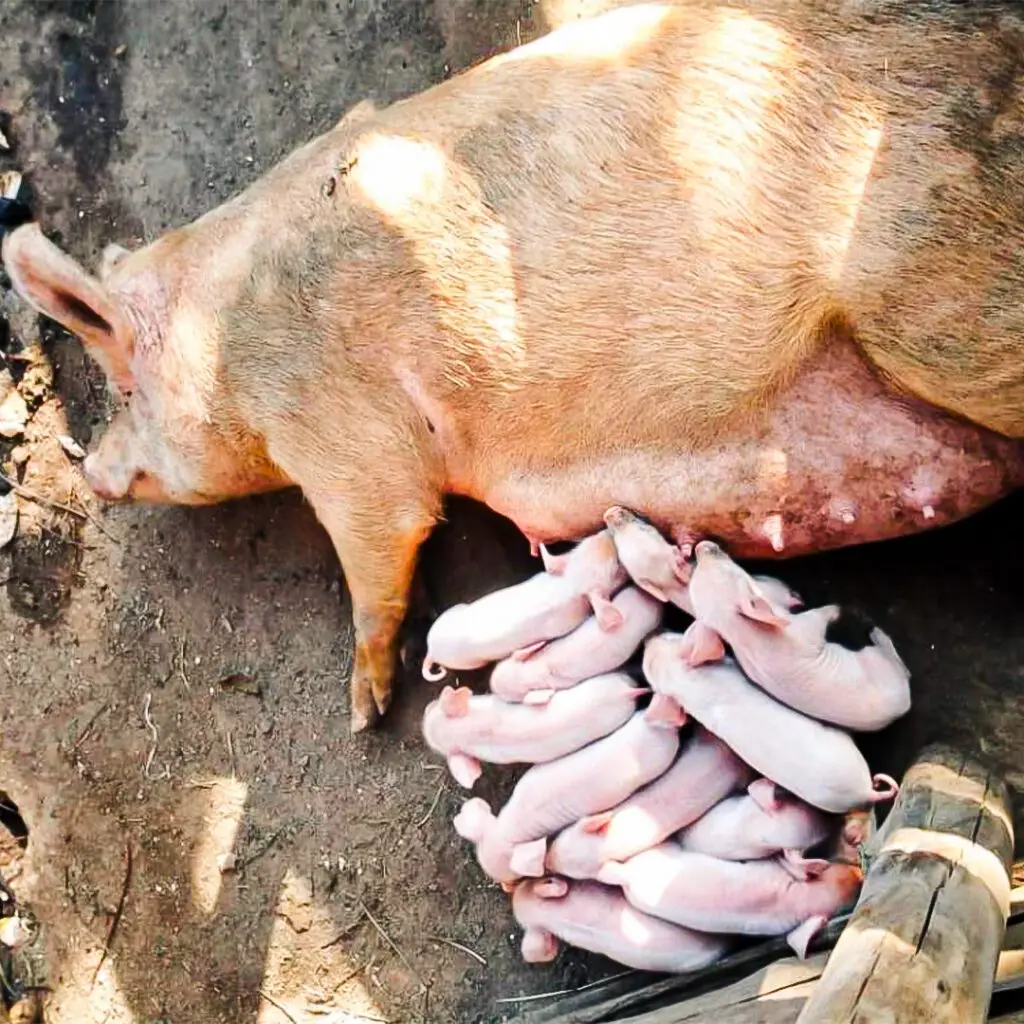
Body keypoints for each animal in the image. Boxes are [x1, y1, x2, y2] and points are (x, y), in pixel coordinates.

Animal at [421, 530, 627, 681]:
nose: (606, 530)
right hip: (467, 662)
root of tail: (431, 650)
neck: (569, 584)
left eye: (589, 539)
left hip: (454, 610)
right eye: (615, 565)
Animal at [685, 541, 911, 731]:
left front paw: (795, 599)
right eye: (729, 573)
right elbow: (822, 614)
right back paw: (877, 633)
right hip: (876, 661)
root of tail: (902, 707)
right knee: (898, 663)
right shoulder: (806, 632)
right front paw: (836, 608)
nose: (700, 546)